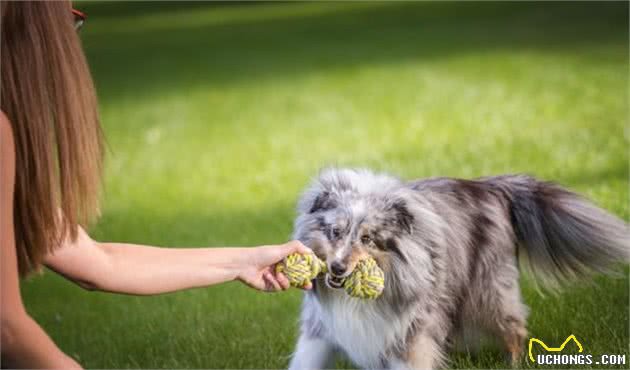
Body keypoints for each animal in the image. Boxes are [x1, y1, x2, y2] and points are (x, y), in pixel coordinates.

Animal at [288, 168, 628, 370]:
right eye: (335, 232)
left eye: (367, 238)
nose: (337, 269)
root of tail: (492, 187)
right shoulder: (320, 330)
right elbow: (306, 359)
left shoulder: (409, 335)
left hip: (488, 292)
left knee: (515, 328)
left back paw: (514, 363)